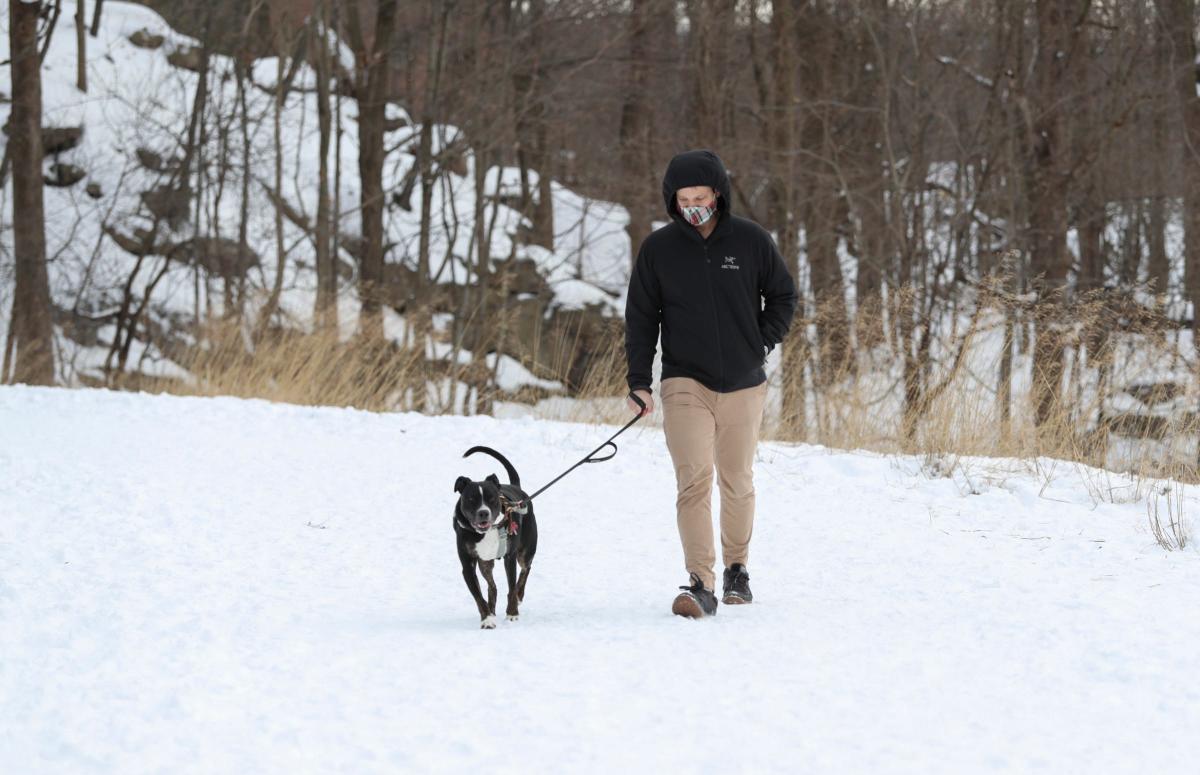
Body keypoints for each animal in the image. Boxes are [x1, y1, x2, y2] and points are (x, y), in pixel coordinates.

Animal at [453, 446, 540, 628]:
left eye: (491, 498)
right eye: (471, 499)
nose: (483, 512)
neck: (486, 532)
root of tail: (516, 487)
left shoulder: (510, 557)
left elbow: (512, 587)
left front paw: (512, 613)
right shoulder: (468, 564)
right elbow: (478, 596)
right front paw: (487, 619)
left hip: (526, 551)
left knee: (526, 569)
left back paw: (519, 596)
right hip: (485, 563)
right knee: (492, 587)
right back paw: (492, 610)